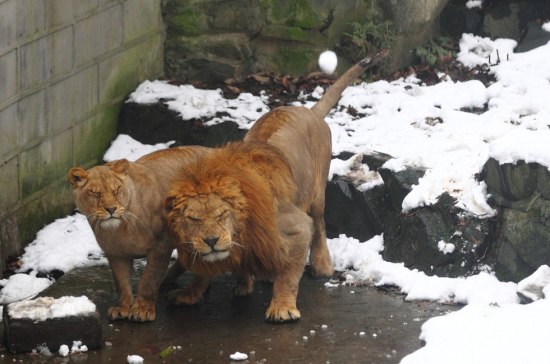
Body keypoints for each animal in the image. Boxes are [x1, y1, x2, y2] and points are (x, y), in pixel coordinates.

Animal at [65, 145, 211, 322]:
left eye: (116, 190)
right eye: (96, 194)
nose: (111, 209)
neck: (120, 228)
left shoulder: (161, 245)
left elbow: (149, 279)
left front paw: (143, 309)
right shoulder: (116, 252)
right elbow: (121, 281)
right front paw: (123, 307)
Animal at [164, 50, 388, 322]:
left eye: (221, 215)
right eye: (193, 219)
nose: (211, 240)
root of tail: (310, 111)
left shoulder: (298, 226)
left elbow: (289, 276)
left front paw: (282, 308)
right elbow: (204, 270)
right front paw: (190, 293)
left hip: (316, 195)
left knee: (320, 223)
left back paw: (321, 265)